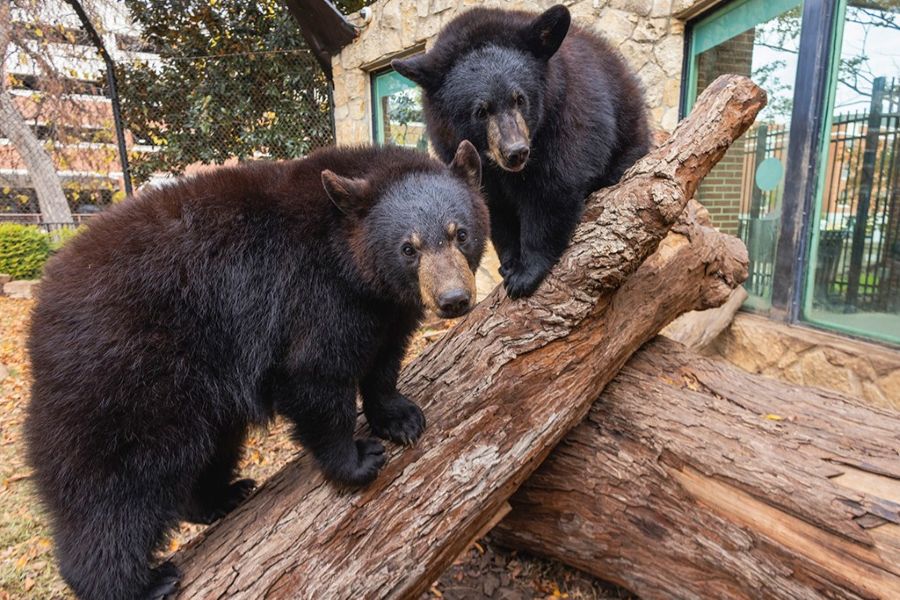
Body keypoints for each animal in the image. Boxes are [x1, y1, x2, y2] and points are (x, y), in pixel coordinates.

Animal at [24, 141, 487, 600]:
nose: (453, 300)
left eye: (460, 233)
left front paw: (400, 418)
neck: (351, 264)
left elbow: (385, 359)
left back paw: (221, 496)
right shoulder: (312, 297)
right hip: (127, 377)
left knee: (211, 449)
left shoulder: (386, 309)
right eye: (409, 248)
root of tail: (42, 315)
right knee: (116, 486)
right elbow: (314, 376)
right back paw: (140, 583)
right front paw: (356, 459)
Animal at [393, 4, 651, 298]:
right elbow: (492, 206)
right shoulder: (453, 146)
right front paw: (509, 262)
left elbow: (553, 188)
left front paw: (525, 273)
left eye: (520, 99)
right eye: (481, 111)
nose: (516, 152)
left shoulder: (566, 115)